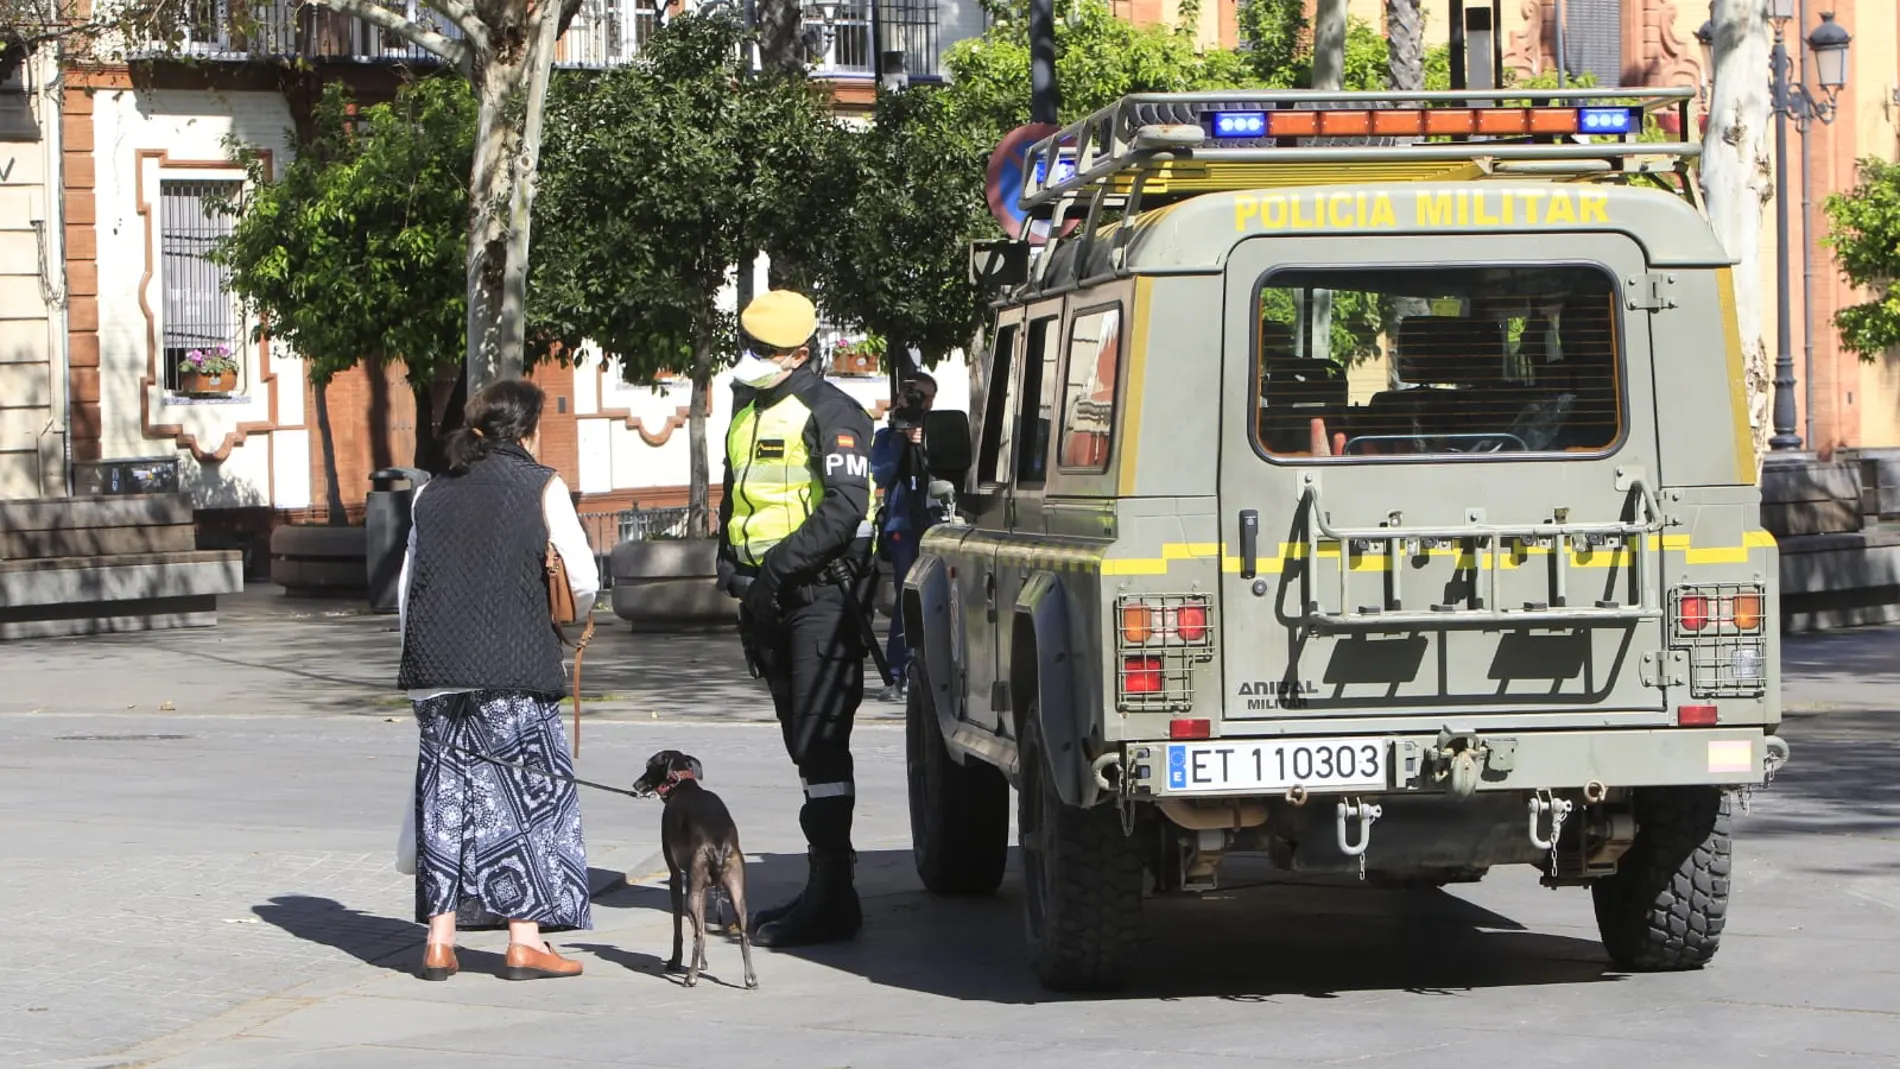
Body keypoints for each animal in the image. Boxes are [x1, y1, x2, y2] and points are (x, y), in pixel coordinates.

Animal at [638, 751, 756, 987]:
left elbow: (680, 928)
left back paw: (690, 977)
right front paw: (703, 963)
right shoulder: (701, 887)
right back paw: (750, 978)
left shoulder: (676, 877)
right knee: (742, 934)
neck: (683, 785)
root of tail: (719, 845)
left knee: (698, 934)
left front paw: (676, 961)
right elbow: (699, 924)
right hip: (737, 892)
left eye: (649, 765)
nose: (636, 784)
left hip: (692, 891)